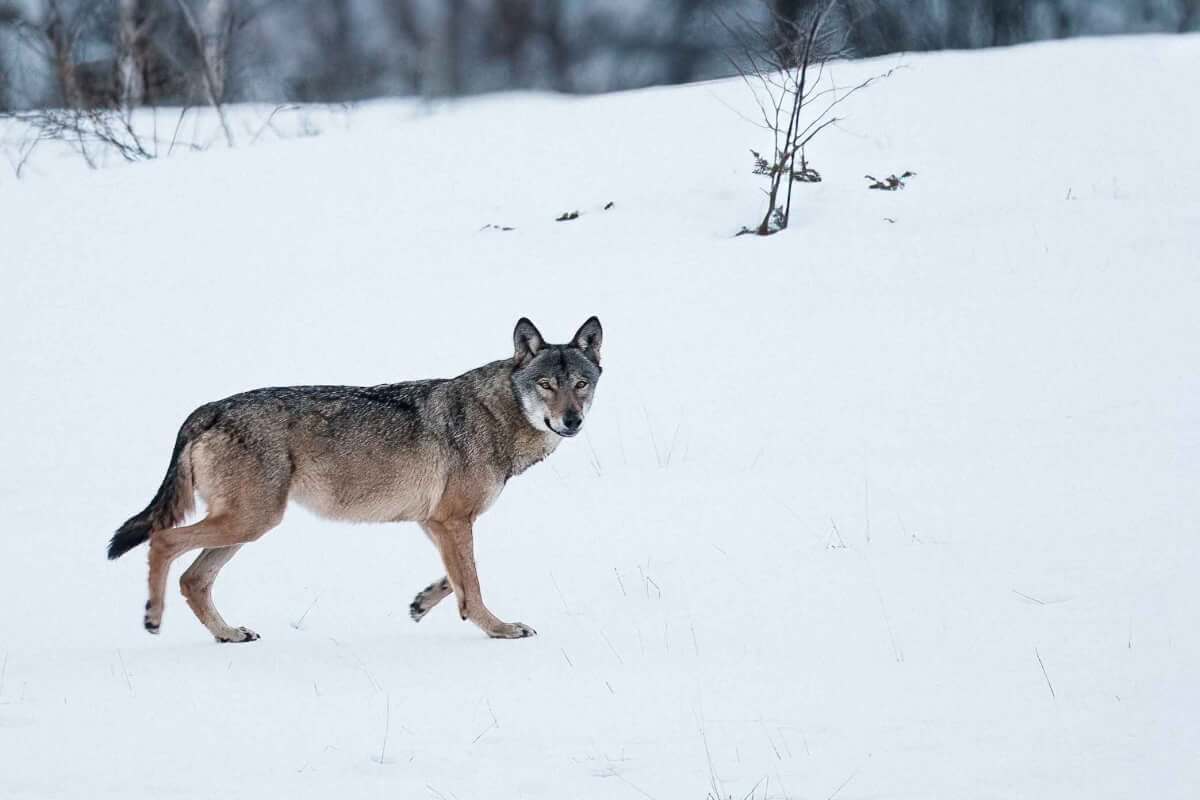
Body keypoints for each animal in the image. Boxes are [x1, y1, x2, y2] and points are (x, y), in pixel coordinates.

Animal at [108, 316, 604, 642]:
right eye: (545, 384)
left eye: (581, 383)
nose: (572, 421)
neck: (497, 413)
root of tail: (207, 408)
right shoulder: (452, 519)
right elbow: (473, 583)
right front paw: (499, 629)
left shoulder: (436, 520)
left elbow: (458, 578)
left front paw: (423, 602)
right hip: (251, 521)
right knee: (163, 541)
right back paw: (153, 618)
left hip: (247, 527)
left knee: (193, 579)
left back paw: (228, 634)